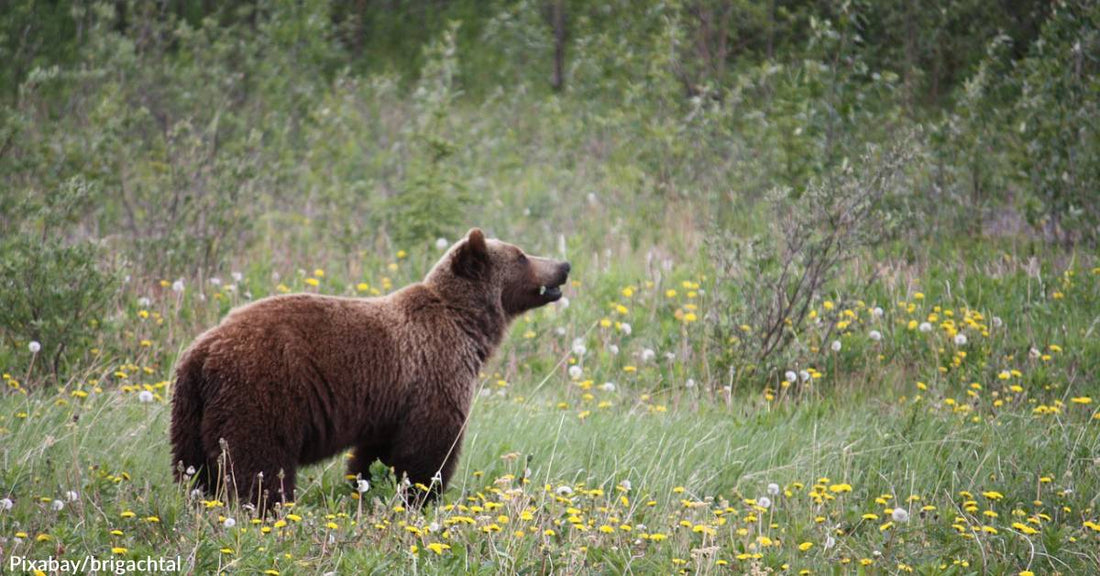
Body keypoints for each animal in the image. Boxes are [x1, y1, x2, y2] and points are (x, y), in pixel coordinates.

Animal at [169, 229, 576, 507]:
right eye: (521, 255)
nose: (563, 265)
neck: (467, 326)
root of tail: (204, 351)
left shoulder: (391, 401)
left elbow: (376, 453)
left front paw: (365, 487)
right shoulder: (434, 373)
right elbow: (428, 449)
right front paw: (422, 496)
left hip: (190, 409)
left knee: (192, 468)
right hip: (262, 392)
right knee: (258, 462)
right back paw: (267, 507)